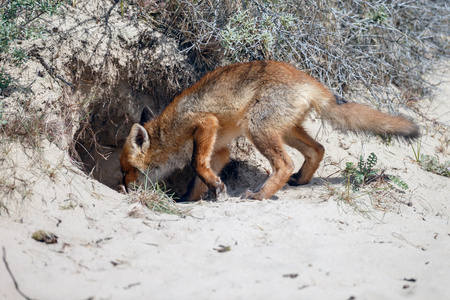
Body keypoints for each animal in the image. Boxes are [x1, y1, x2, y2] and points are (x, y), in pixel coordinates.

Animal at [118, 60, 418, 200]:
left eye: (126, 170)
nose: (125, 190)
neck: (167, 134)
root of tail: (308, 79)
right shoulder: (220, 150)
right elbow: (198, 180)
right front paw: (190, 200)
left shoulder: (205, 123)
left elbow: (196, 165)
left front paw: (215, 190)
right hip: (283, 130)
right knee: (317, 149)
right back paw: (300, 181)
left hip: (257, 129)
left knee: (285, 163)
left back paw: (261, 195)